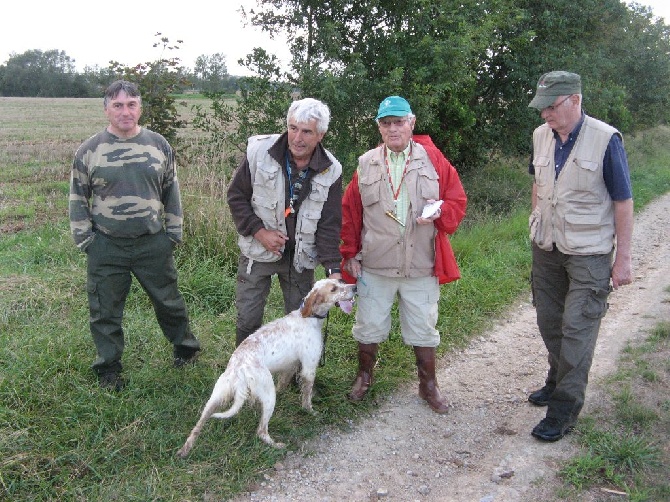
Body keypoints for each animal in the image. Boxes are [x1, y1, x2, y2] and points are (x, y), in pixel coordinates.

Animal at [177, 276, 356, 456]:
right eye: (333, 289)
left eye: (341, 281)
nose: (355, 287)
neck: (308, 317)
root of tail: (240, 368)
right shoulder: (309, 369)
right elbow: (306, 397)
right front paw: (311, 412)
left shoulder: (289, 368)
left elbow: (282, 385)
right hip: (268, 395)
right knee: (261, 431)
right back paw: (277, 445)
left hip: (216, 396)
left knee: (198, 426)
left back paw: (185, 450)